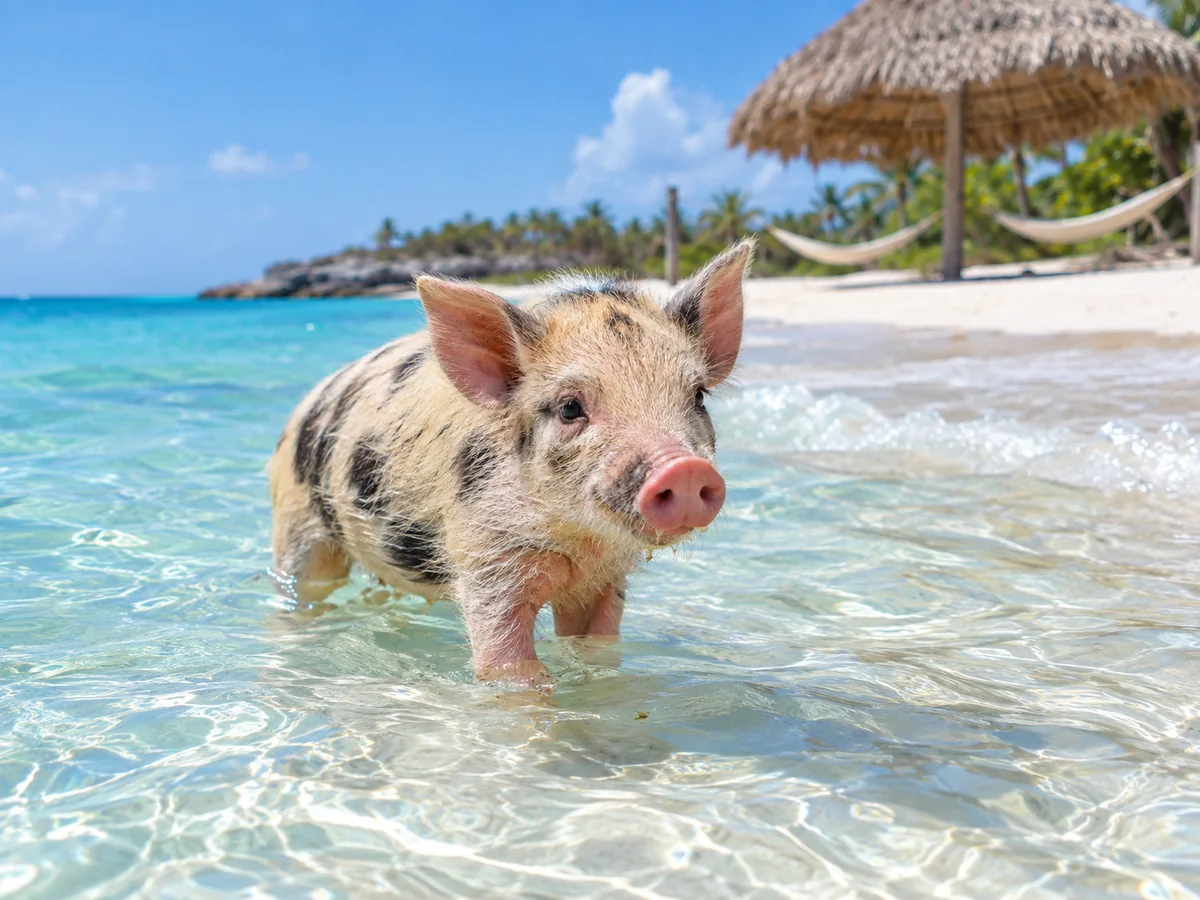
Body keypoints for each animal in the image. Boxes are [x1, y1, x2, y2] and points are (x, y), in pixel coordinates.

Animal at [269, 238, 754, 681]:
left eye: (698, 396)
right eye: (569, 408)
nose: (685, 468)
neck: (577, 542)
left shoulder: (606, 579)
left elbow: (597, 647)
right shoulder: (483, 559)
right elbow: (506, 664)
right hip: (296, 523)